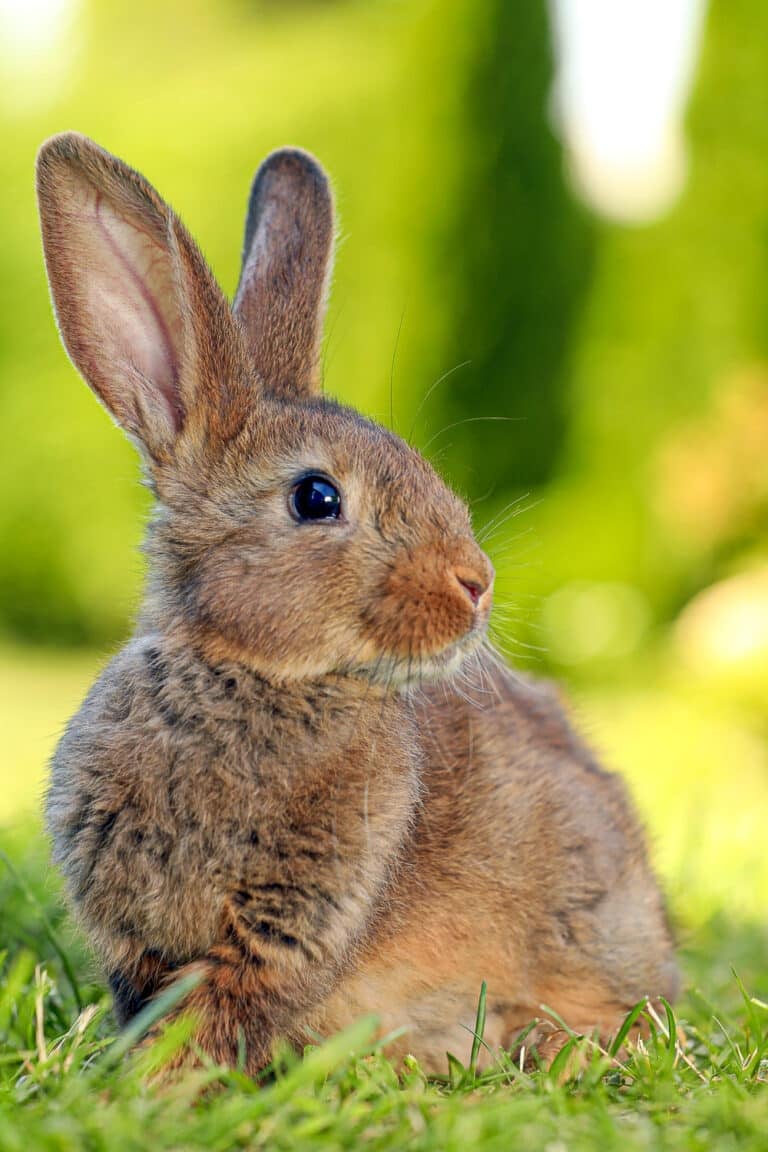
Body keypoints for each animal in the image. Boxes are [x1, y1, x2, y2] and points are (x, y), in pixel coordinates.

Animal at [37, 132, 678, 1076]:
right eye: (316, 498)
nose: (476, 581)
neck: (251, 674)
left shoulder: (293, 920)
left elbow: (218, 1014)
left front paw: (155, 1087)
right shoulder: (142, 941)